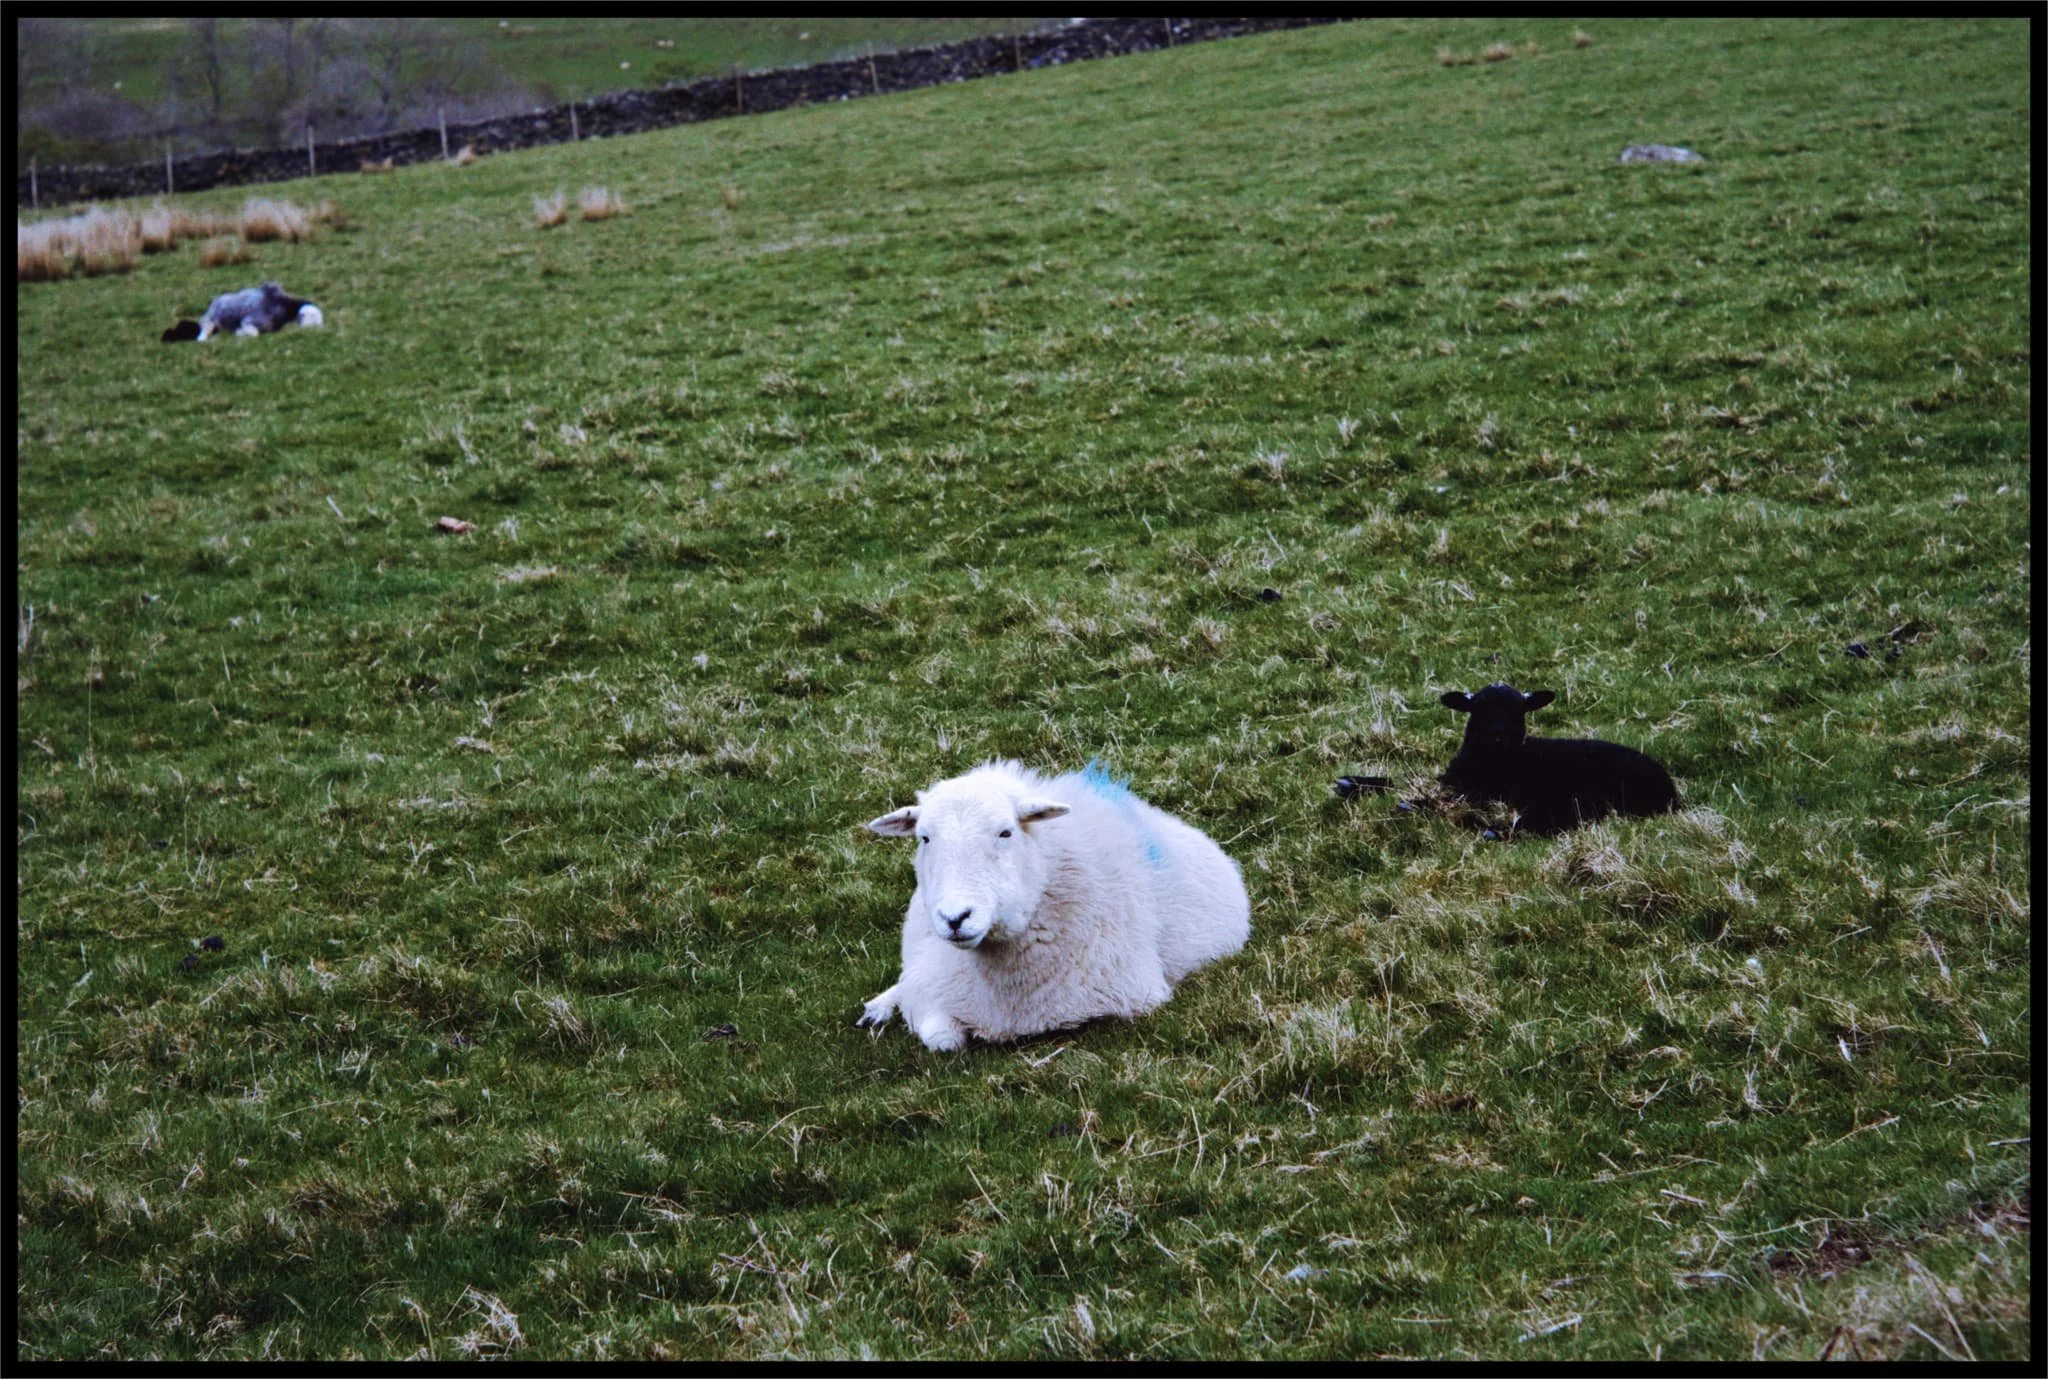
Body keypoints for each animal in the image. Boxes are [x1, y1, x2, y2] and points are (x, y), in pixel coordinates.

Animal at [161, 281, 323, 342]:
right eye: (310, 318)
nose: (319, 331)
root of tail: (213, 303)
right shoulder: (248, 321)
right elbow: (254, 333)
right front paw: (239, 333)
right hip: (209, 323)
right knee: (201, 337)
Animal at [859, 759, 1250, 1052]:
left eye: (1006, 832)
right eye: (924, 837)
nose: (955, 918)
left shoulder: (1121, 997)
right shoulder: (932, 984)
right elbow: (942, 1038)